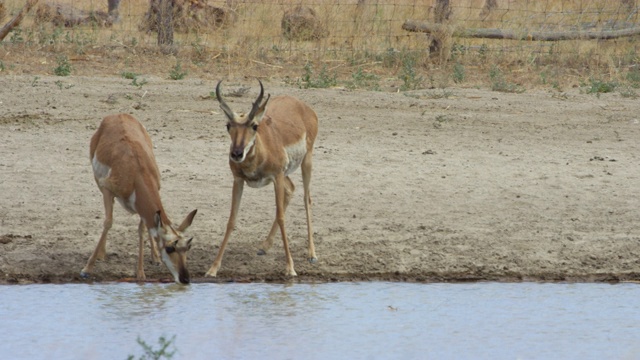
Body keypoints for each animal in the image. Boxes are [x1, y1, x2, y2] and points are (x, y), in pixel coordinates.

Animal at [82, 114, 198, 282]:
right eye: (170, 248)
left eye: (188, 247)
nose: (185, 279)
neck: (137, 172)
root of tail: (118, 115)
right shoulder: (107, 189)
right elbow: (108, 222)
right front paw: (87, 269)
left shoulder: (144, 206)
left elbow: (142, 229)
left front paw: (141, 272)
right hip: (99, 183)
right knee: (107, 217)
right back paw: (101, 254)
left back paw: (155, 258)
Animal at [206, 80, 318, 278]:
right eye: (228, 125)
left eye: (254, 125)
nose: (237, 154)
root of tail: (303, 106)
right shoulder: (238, 180)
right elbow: (231, 220)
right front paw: (212, 269)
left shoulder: (277, 176)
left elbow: (281, 217)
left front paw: (290, 268)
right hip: (286, 174)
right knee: (291, 189)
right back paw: (264, 247)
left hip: (306, 162)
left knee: (307, 198)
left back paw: (312, 254)